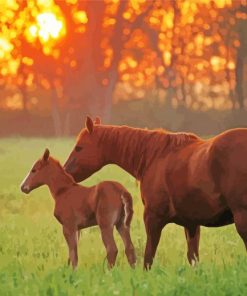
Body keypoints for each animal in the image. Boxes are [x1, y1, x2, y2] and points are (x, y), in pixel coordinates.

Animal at [64, 117, 247, 270]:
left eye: (79, 148)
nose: (65, 172)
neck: (155, 156)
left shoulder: (152, 218)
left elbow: (148, 257)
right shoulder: (192, 224)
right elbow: (193, 258)